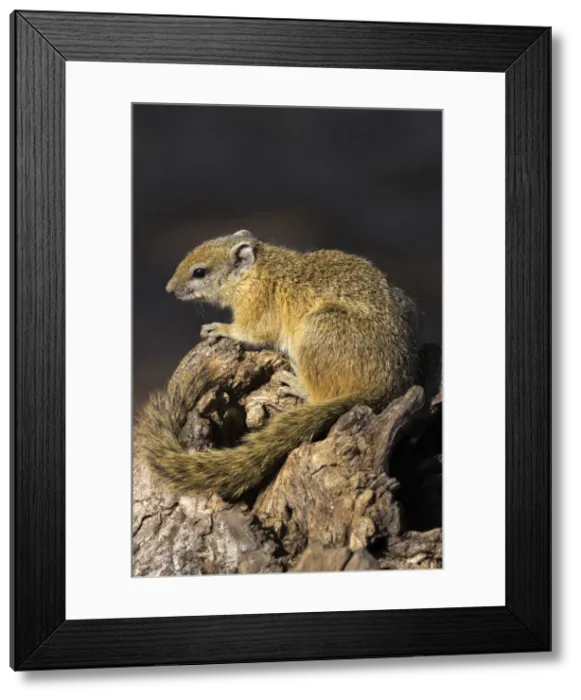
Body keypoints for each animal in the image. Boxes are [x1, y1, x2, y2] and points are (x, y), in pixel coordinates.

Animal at [135, 229, 421, 500]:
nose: (169, 288)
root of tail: (385, 387)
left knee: (320, 395)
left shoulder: (256, 309)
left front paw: (220, 329)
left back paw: (295, 384)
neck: (256, 271)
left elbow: (249, 333)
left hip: (317, 329)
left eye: (199, 272)